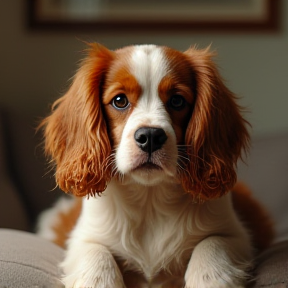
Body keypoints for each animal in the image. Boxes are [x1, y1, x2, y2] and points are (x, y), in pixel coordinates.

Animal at [38, 43, 274, 288]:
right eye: (120, 101)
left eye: (177, 101)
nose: (150, 136)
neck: (149, 198)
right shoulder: (83, 237)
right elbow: (96, 253)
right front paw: (98, 278)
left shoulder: (236, 234)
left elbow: (211, 244)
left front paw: (210, 277)